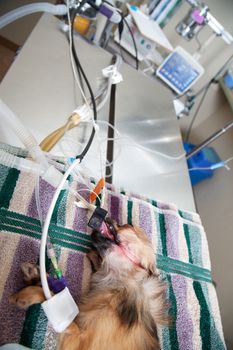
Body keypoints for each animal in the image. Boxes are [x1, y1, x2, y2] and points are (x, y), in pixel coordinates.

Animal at [10, 223, 167, 348]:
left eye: (126, 225)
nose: (108, 218)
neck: (121, 282)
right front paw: (36, 275)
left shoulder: (78, 339)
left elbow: (54, 301)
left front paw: (27, 295)